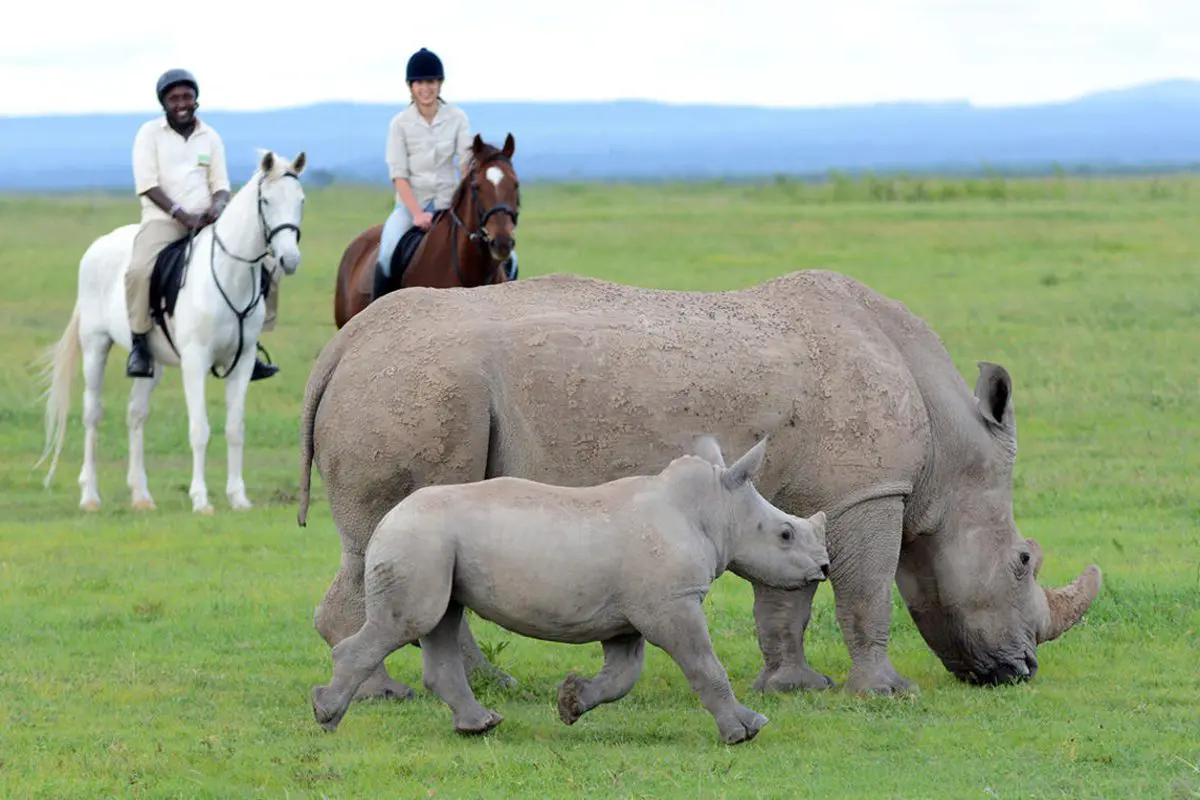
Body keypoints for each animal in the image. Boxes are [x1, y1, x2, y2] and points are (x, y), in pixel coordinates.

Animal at [37, 149, 309, 513]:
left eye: (301, 200)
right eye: (266, 200)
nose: (289, 260)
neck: (230, 274)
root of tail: (98, 245)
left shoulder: (242, 362)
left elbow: (235, 428)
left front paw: (238, 498)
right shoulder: (195, 361)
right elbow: (199, 430)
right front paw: (201, 499)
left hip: (151, 364)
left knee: (136, 415)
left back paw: (141, 496)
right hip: (95, 348)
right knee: (92, 414)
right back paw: (90, 496)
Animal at [297, 267, 1099, 695]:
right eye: (1023, 561)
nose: (1022, 671)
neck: (950, 454)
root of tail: (343, 345)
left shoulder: (803, 502)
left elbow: (787, 602)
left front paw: (794, 688)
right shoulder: (868, 493)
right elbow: (867, 591)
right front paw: (887, 693)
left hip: (413, 381)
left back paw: (488, 688)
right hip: (424, 386)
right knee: (383, 539)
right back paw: (387, 694)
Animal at [309, 438, 830, 743]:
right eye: (785, 535)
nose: (823, 567)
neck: (714, 508)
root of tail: (387, 518)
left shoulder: (633, 613)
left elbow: (623, 675)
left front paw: (571, 703)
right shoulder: (673, 604)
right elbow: (706, 665)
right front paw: (746, 730)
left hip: (433, 542)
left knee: (441, 620)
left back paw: (480, 725)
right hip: (419, 538)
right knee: (411, 622)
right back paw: (327, 717)